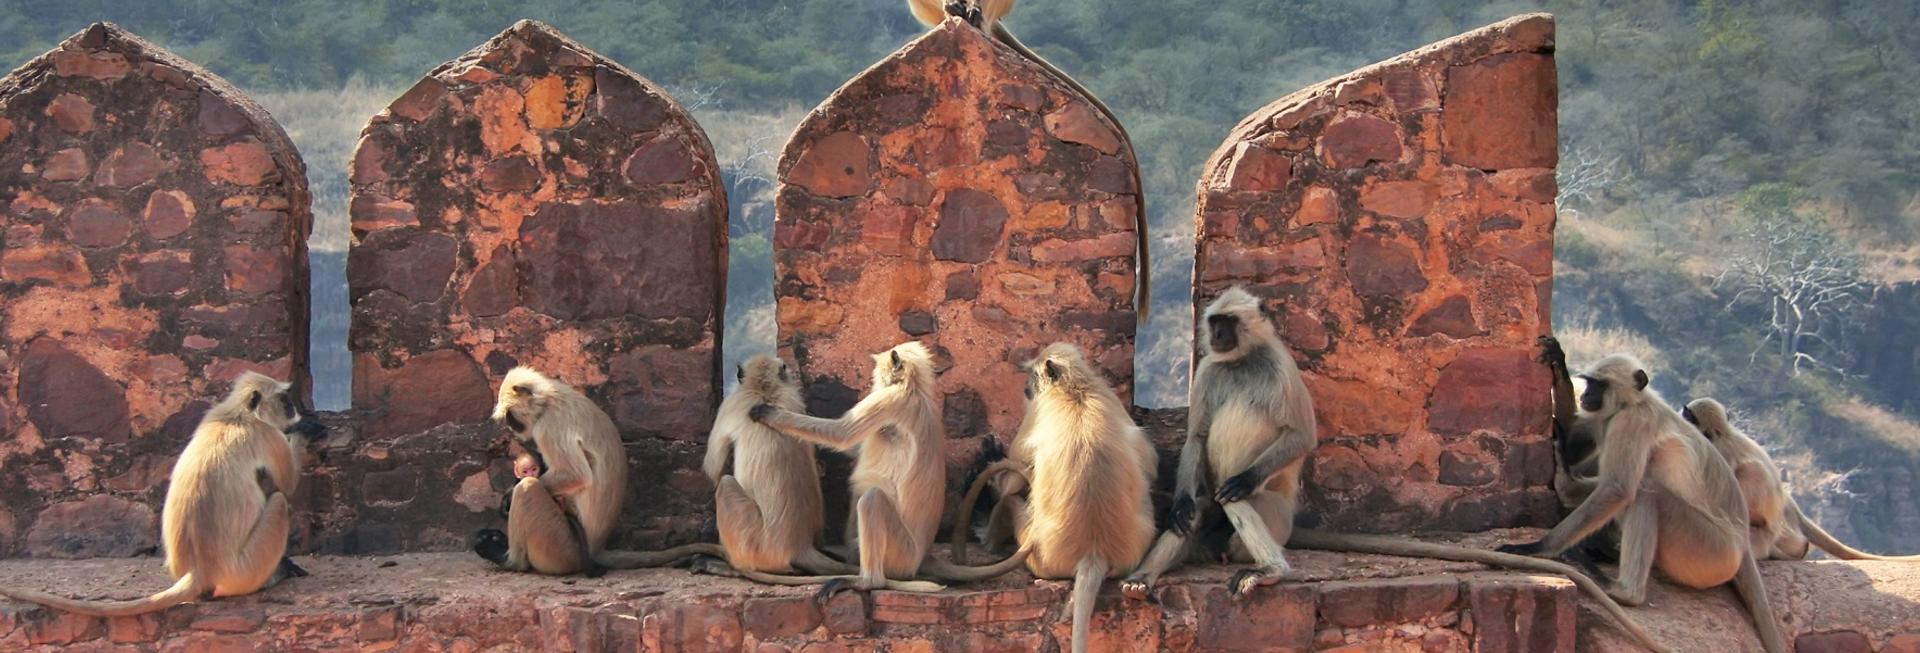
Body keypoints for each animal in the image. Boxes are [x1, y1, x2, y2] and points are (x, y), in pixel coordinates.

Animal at [0, 370, 322, 614]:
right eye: (284, 399)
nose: (294, 408)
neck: (237, 415)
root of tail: (199, 572)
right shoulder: (267, 434)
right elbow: (287, 484)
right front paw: (304, 430)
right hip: (245, 569)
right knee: (278, 501)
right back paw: (275, 575)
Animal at [948, 341, 1144, 653]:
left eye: (1032, 375)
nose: (1025, 387)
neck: (1075, 390)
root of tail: (1094, 552)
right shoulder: (1111, 398)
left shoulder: (1034, 414)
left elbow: (1011, 483)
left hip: (1040, 554)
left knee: (1009, 501)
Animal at [1497, 355, 1797, 653]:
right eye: (1590, 383)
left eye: (1600, 384)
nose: (1588, 395)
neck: (1636, 402)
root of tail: (1742, 542)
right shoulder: (1608, 420)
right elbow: (1581, 448)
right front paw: (1558, 365)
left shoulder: (1631, 421)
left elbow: (1617, 489)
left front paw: (1539, 546)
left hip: (1709, 549)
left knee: (1645, 493)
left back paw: (1624, 591)